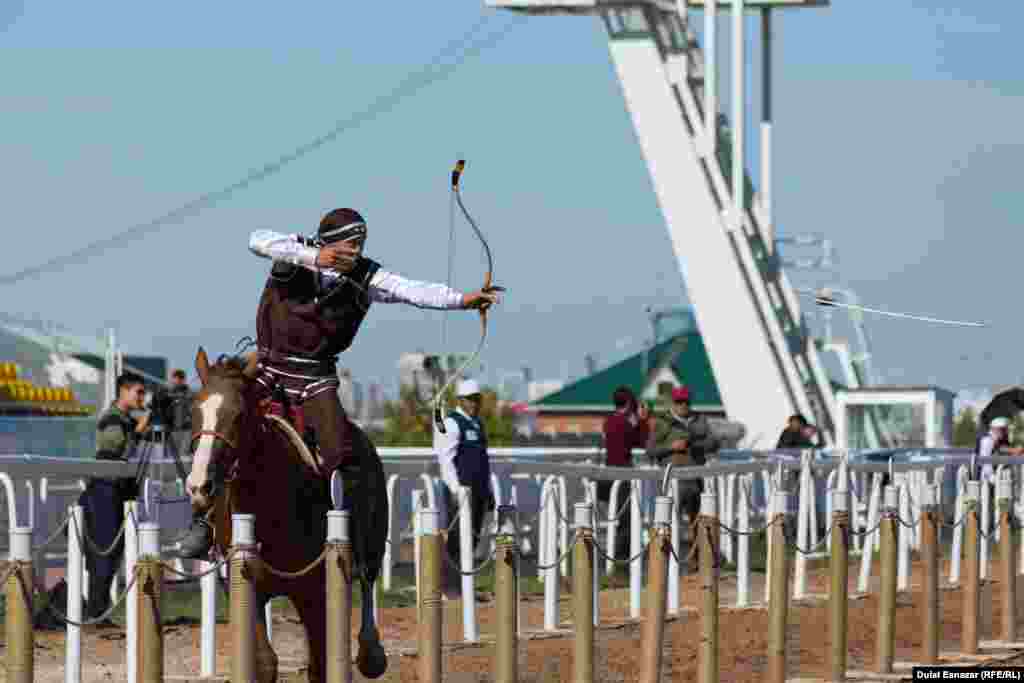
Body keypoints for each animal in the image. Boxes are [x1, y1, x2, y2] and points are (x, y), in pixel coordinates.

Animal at [185, 350, 387, 679]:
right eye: (194, 412)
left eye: (239, 415)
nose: (199, 486)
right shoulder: (247, 590)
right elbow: (265, 662)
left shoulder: (313, 593)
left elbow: (320, 664)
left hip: (370, 550)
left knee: (368, 583)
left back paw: (372, 652)